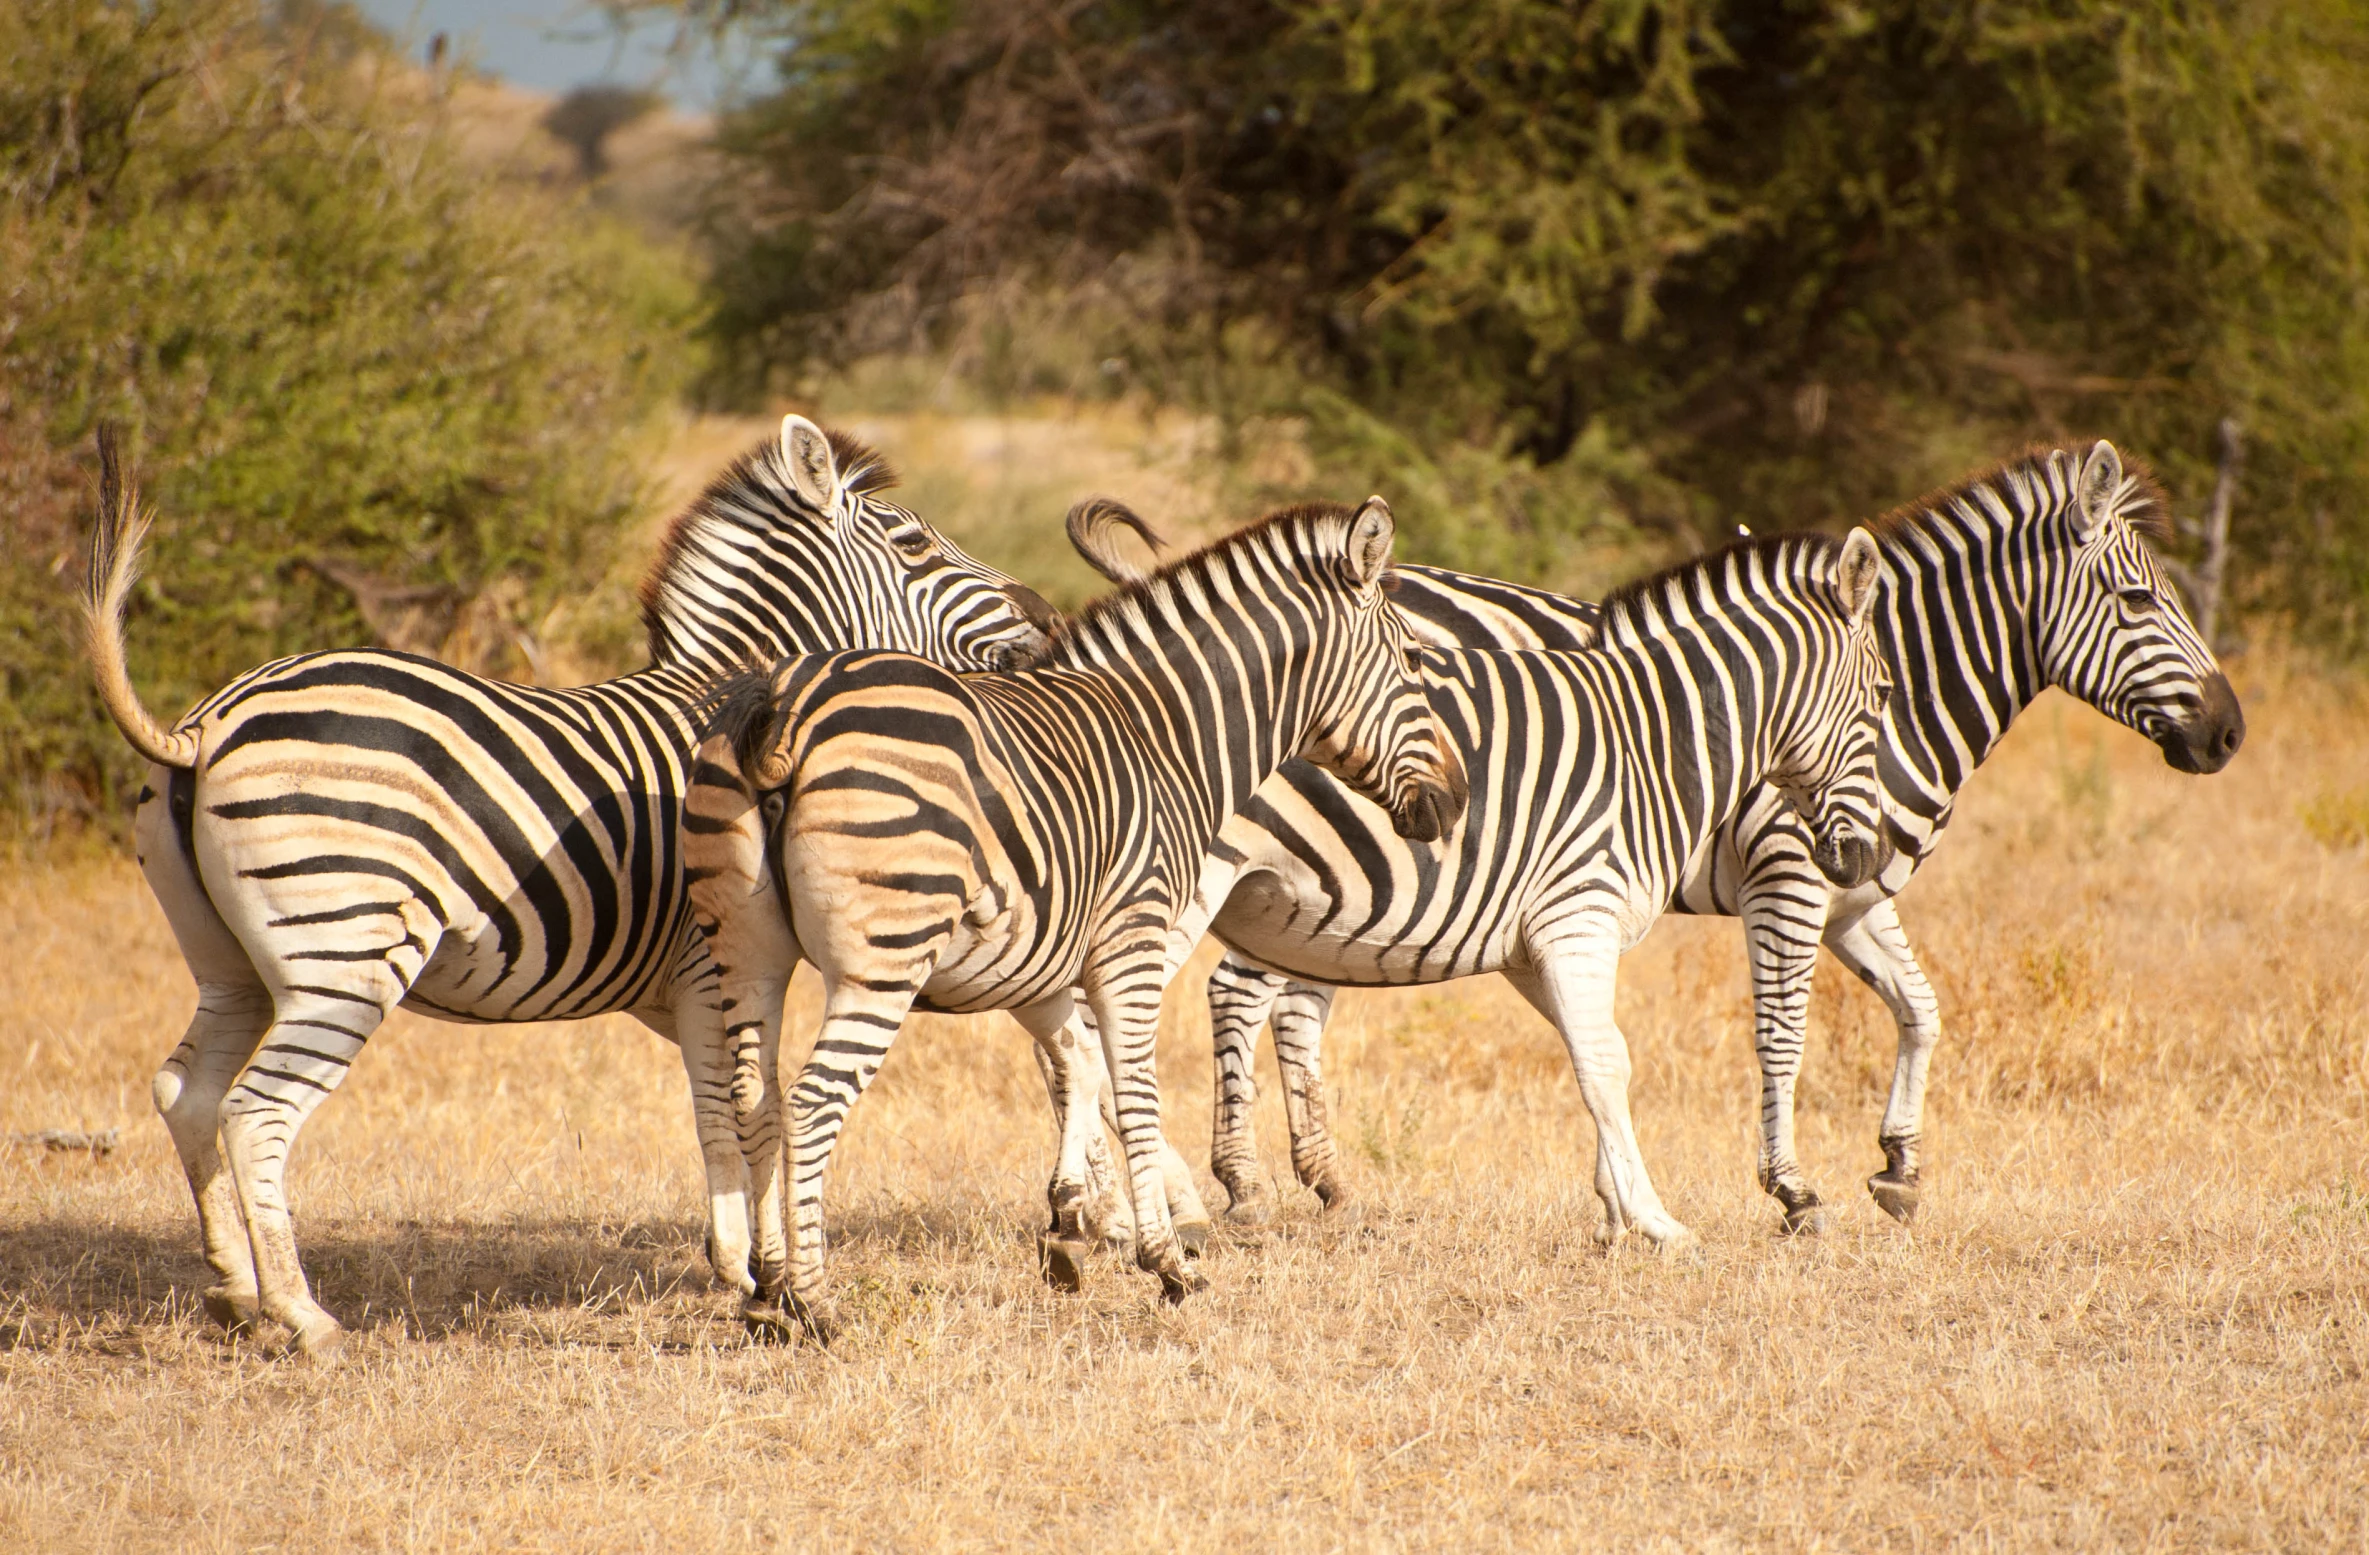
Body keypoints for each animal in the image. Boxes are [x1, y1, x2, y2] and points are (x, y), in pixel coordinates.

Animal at [81, 419, 1056, 1355]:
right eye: (914, 541)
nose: (1047, 614)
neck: (745, 703)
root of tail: (206, 726)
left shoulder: (681, 988)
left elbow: (728, 1105)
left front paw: (746, 1268)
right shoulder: (715, 963)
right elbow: (754, 1108)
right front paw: (764, 1276)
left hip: (231, 964)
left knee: (187, 1093)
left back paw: (235, 1295)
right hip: (344, 953)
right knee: (256, 1112)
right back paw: (303, 1316)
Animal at [677, 497, 1468, 1336]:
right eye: (1413, 660)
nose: (1454, 801)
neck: (1167, 737)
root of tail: (787, 702)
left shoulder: (1038, 963)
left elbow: (1077, 1065)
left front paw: (1067, 1227)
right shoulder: (1135, 938)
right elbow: (1136, 1090)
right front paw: (1166, 1261)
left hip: (746, 948)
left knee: (755, 1102)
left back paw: (766, 1289)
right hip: (882, 959)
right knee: (812, 1102)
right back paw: (815, 1298)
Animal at [1085, 433, 2245, 1223]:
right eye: (2139, 598)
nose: (2227, 733)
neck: (1899, 696)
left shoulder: (1854, 892)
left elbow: (1922, 1010)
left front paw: (1899, 1163)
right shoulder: (1788, 877)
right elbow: (1779, 1035)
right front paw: (1788, 1186)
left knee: (1271, 998)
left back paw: (1294, 1178)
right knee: (1234, 993)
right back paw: (1234, 1184)